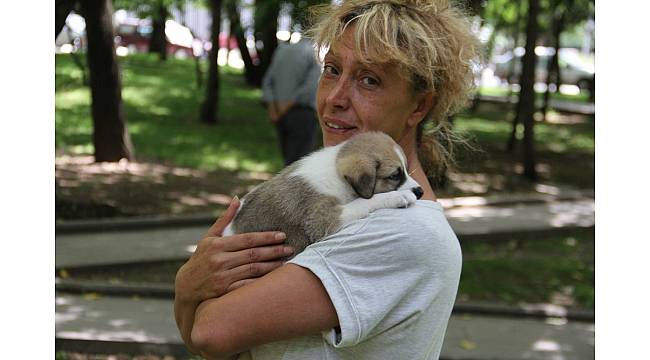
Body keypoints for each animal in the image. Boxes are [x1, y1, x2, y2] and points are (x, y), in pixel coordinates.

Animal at [223, 131, 422, 253]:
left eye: (406, 170)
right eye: (394, 176)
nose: (420, 191)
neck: (335, 172)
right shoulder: (321, 220)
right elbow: (364, 201)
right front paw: (398, 196)